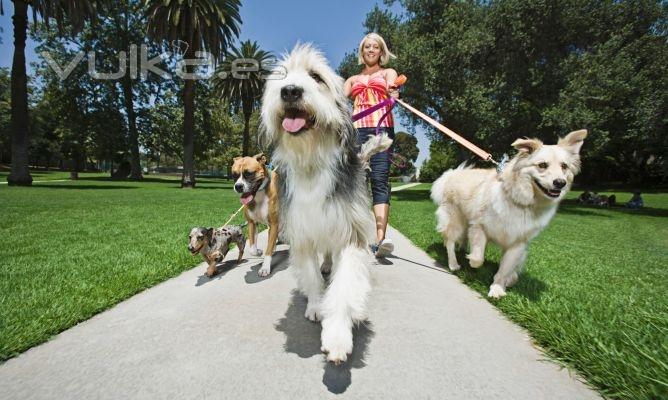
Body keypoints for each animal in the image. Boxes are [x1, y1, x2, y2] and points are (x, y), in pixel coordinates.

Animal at [260, 45, 376, 364]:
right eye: (282, 77)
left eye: (316, 77)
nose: (289, 91)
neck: (312, 160)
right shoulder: (302, 232)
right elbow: (311, 276)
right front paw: (315, 306)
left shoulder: (351, 232)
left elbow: (344, 285)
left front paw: (337, 335)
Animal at [430, 130, 588, 298]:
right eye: (542, 165)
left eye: (564, 166)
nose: (560, 183)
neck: (523, 203)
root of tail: (451, 175)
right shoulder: (479, 227)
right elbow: (479, 257)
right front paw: (472, 262)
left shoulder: (518, 243)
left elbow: (506, 268)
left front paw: (499, 287)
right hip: (456, 221)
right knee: (450, 242)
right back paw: (454, 263)